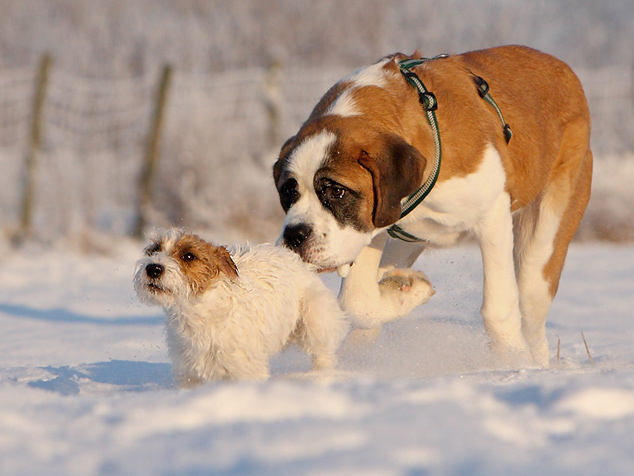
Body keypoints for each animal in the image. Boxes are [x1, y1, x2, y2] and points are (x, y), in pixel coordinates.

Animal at [272, 45, 592, 368]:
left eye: (336, 191)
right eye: (288, 192)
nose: (294, 236)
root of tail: (564, 70)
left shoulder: (492, 216)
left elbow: (498, 308)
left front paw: (512, 361)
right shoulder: (372, 228)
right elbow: (356, 300)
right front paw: (405, 291)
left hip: (546, 235)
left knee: (531, 306)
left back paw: (536, 363)